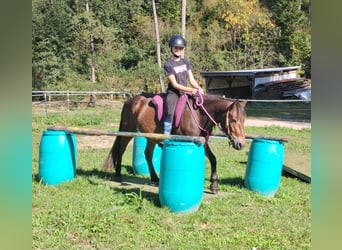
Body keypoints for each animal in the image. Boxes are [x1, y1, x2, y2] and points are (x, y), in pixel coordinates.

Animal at [103, 93, 247, 193]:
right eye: (233, 119)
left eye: (244, 120)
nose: (241, 144)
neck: (198, 114)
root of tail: (130, 101)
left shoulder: (201, 141)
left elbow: (213, 159)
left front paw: (214, 185)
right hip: (128, 130)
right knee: (121, 149)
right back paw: (118, 175)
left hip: (151, 136)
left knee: (148, 154)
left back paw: (155, 178)